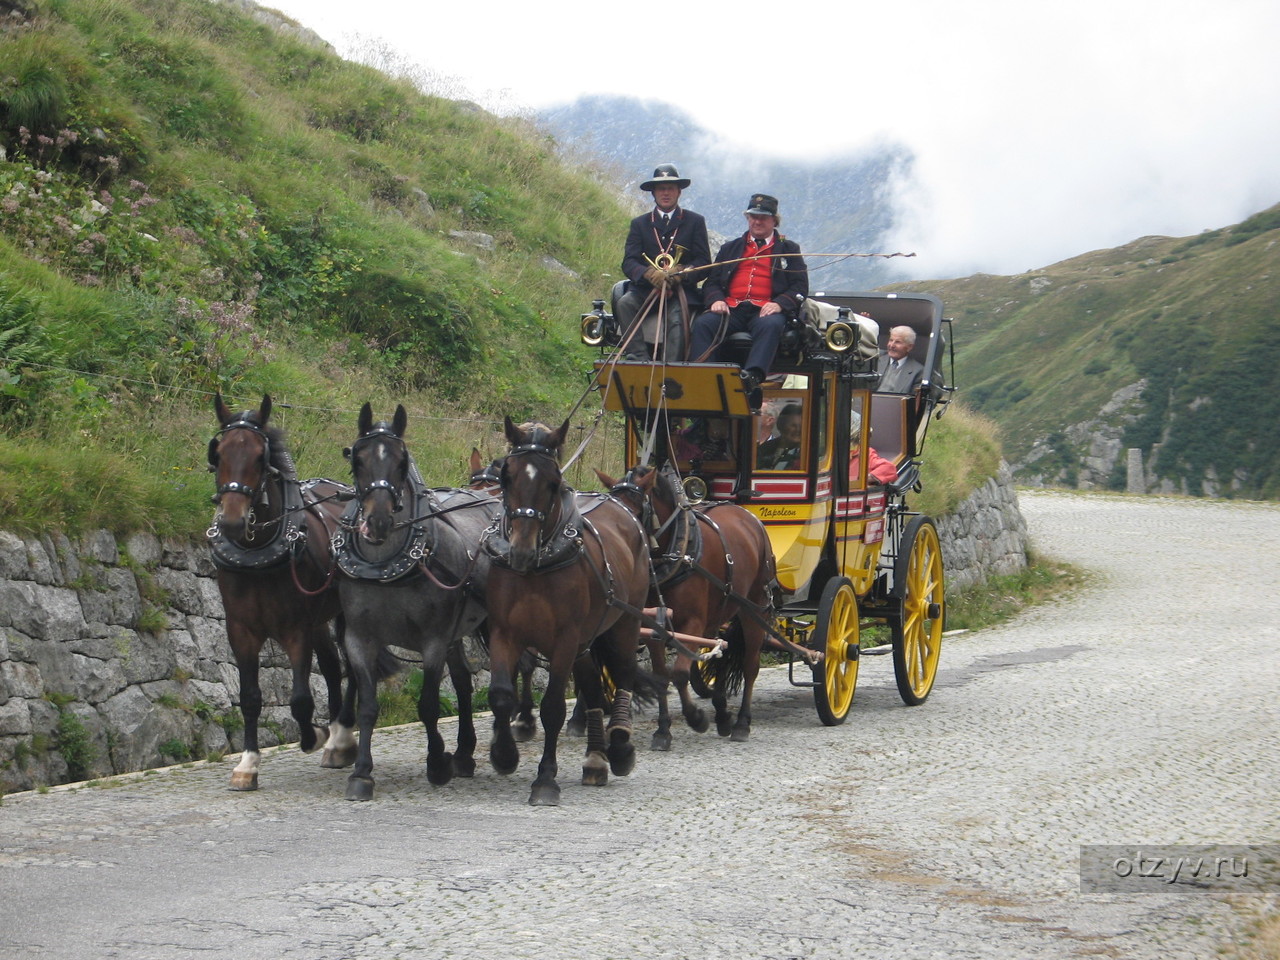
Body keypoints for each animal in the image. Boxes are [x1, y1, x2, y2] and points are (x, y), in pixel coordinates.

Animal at [207, 394, 355, 793]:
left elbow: (301, 699)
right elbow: (249, 698)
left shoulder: (295, 629)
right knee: (332, 668)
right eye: (218, 454)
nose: (232, 521)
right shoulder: (240, 630)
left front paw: (314, 735)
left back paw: (340, 737)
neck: (258, 550)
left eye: (261, 457)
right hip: (319, 619)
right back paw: (338, 740)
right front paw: (247, 765)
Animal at [335, 401, 499, 798]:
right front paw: (361, 772)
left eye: (401, 460)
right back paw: (465, 753)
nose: (377, 521)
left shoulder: (433, 640)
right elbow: (368, 706)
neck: (386, 568)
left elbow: (427, 705)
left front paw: (437, 763)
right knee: (463, 683)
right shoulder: (359, 638)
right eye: (357, 459)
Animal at [486, 419, 655, 803]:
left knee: (624, 672)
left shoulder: (564, 639)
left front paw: (546, 778)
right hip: (586, 643)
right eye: (506, 477)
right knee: (593, 689)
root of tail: (620, 507)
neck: (536, 567)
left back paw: (619, 745)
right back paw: (595, 758)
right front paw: (504, 753)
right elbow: (501, 695)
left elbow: (552, 707)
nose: (520, 551)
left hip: (626, 621)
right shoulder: (505, 633)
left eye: (553, 482)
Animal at [601, 463, 778, 747]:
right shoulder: (653, 626)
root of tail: (749, 517)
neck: (677, 550)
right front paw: (663, 730)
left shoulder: (692, 622)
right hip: (718, 611)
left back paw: (741, 722)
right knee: (719, 652)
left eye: (638, 512)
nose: (616, 547)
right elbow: (663, 676)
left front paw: (696, 718)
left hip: (754, 606)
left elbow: (680, 673)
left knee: (750, 665)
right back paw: (722, 712)